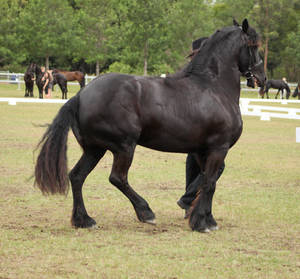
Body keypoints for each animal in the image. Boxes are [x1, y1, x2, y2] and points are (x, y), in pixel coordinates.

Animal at [34, 19, 266, 233]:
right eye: (254, 45)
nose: (262, 79)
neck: (212, 87)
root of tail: (81, 95)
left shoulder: (203, 151)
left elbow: (207, 181)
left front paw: (205, 218)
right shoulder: (218, 148)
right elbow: (209, 182)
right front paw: (201, 223)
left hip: (95, 149)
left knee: (77, 176)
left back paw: (84, 220)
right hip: (123, 147)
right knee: (117, 178)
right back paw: (146, 213)